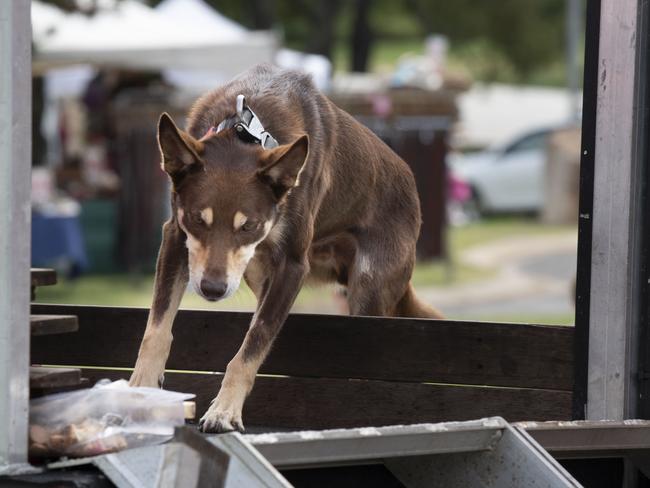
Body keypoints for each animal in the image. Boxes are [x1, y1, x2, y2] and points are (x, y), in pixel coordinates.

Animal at [128, 63, 440, 430]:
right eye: (197, 219)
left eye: (248, 226)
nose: (212, 289)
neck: (246, 128)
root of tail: (412, 190)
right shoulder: (177, 238)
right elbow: (157, 328)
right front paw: (140, 390)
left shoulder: (292, 265)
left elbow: (253, 343)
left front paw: (225, 410)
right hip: (258, 273)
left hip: (368, 288)